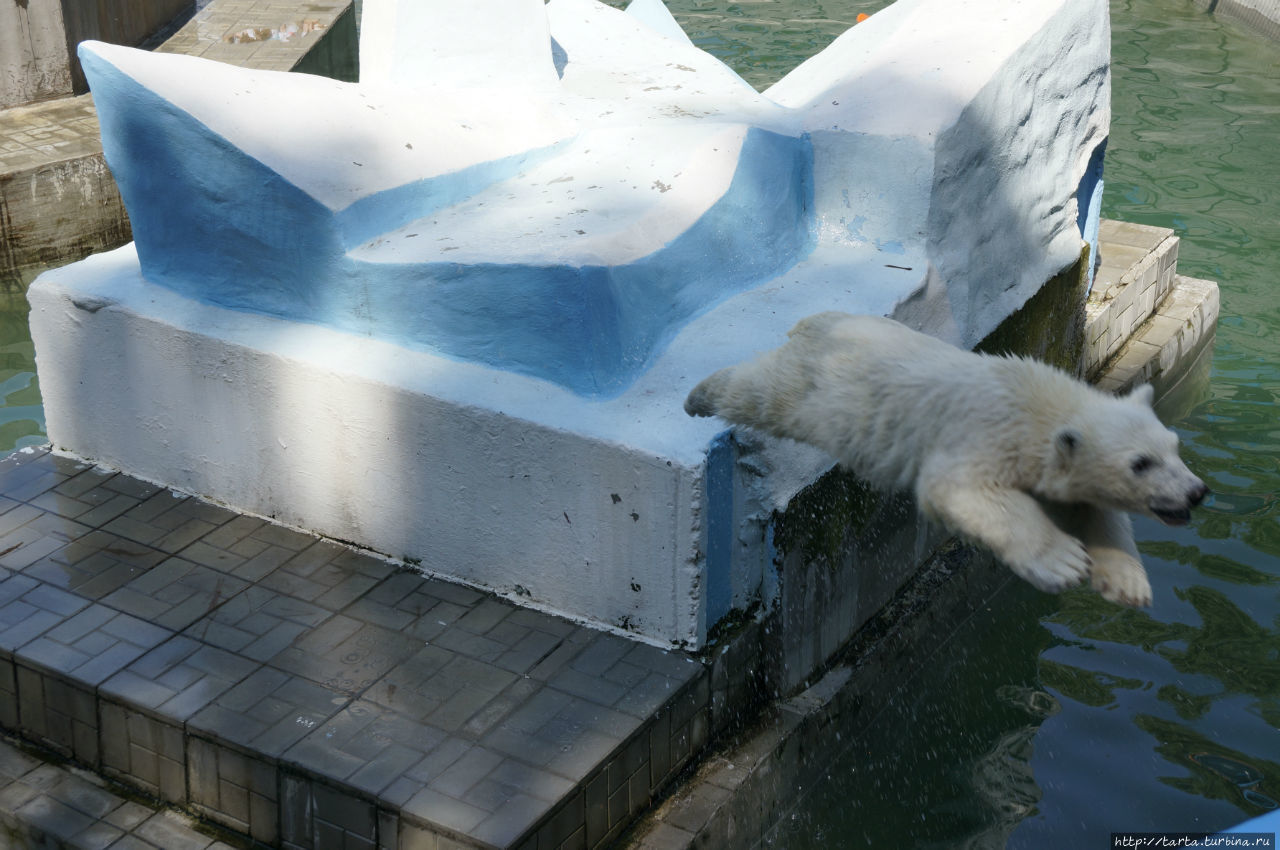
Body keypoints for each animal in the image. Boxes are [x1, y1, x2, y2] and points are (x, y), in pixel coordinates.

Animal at [686, 312, 1203, 604]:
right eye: (1140, 463)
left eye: (1173, 448)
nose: (1196, 493)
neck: (1039, 403)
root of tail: (817, 321)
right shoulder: (987, 436)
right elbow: (960, 491)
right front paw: (1064, 562)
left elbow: (1090, 509)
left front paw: (1127, 582)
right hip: (822, 391)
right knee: (762, 393)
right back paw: (698, 395)